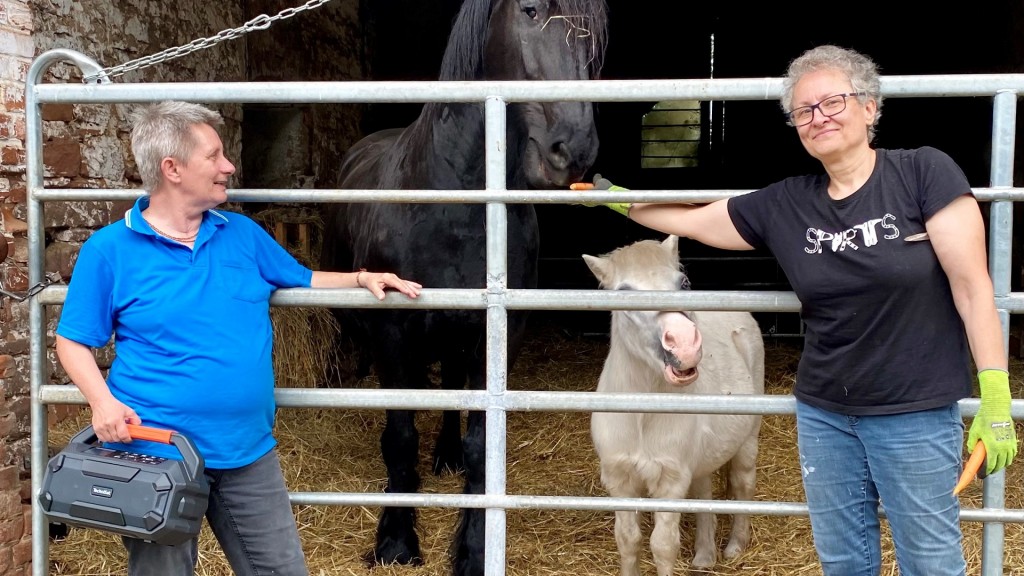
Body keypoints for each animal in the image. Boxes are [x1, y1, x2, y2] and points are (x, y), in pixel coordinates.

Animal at [323, 2, 602, 569]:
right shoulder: (392, 336)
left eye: (594, 30)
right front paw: (395, 541)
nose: (574, 150)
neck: (455, 205)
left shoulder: (496, 336)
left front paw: (474, 550)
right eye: (531, 10)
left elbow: (481, 447)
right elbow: (400, 437)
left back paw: (446, 456)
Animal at [585, 235, 761, 569]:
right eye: (624, 293)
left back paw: (734, 546)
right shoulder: (619, 480)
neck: (641, 417)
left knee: (743, 484)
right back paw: (705, 556)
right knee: (704, 493)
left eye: (684, 283)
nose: (685, 346)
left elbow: (663, 546)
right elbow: (628, 540)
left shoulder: (670, 482)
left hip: (748, 442)